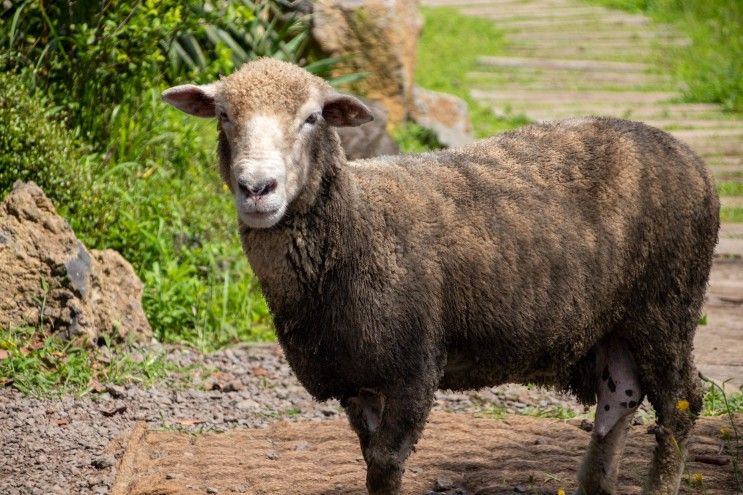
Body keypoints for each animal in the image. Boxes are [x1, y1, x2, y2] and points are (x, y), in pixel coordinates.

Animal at [163, 59, 720, 495]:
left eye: (312, 117)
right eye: (224, 114)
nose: (257, 188)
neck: (360, 226)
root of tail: (689, 157)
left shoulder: (413, 367)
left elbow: (386, 465)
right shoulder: (357, 379)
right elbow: (370, 460)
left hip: (668, 304)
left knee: (681, 404)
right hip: (617, 325)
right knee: (618, 400)